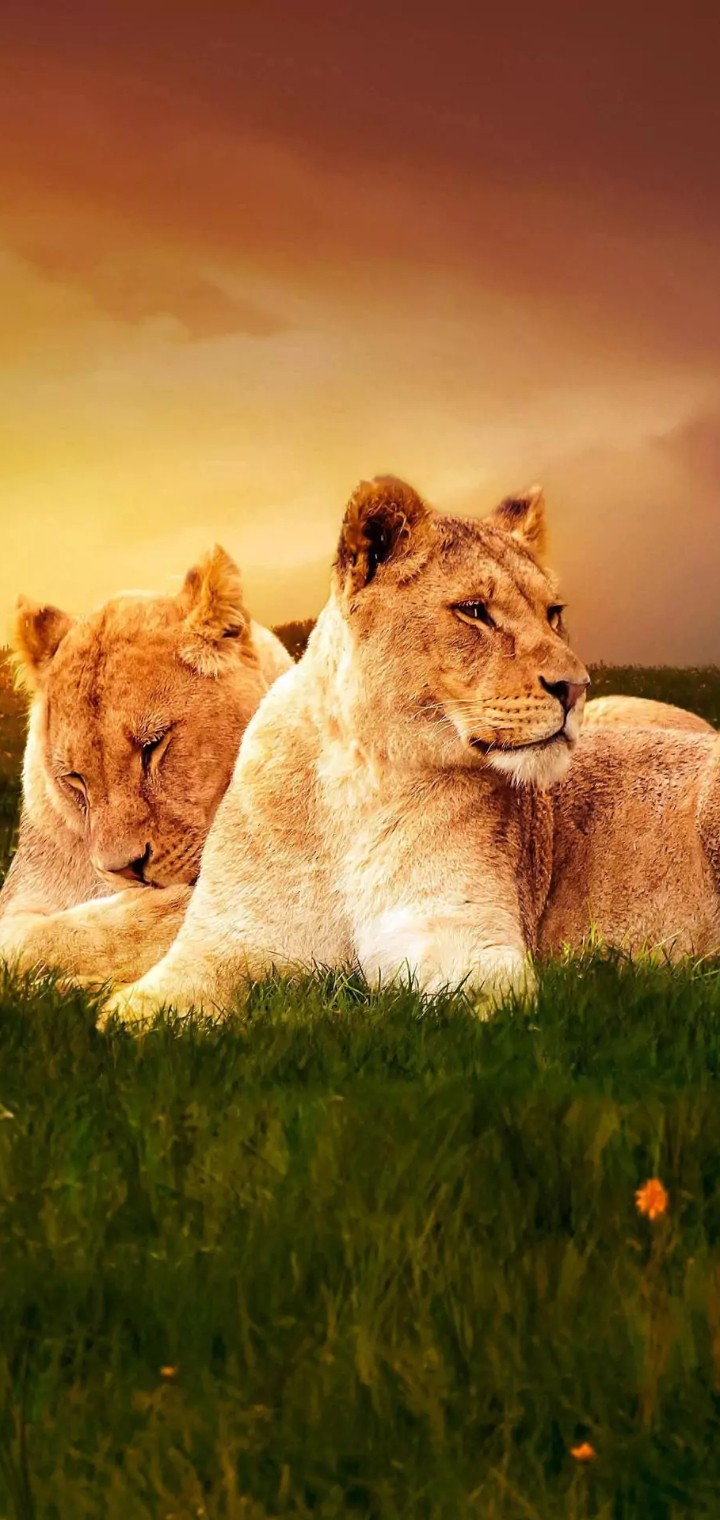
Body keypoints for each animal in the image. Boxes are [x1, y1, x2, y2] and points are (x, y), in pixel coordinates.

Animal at [102, 475, 720, 1027]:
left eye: (553, 614)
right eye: (474, 610)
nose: (576, 687)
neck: (355, 780)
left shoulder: (464, 942)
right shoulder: (222, 941)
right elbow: (130, 1014)